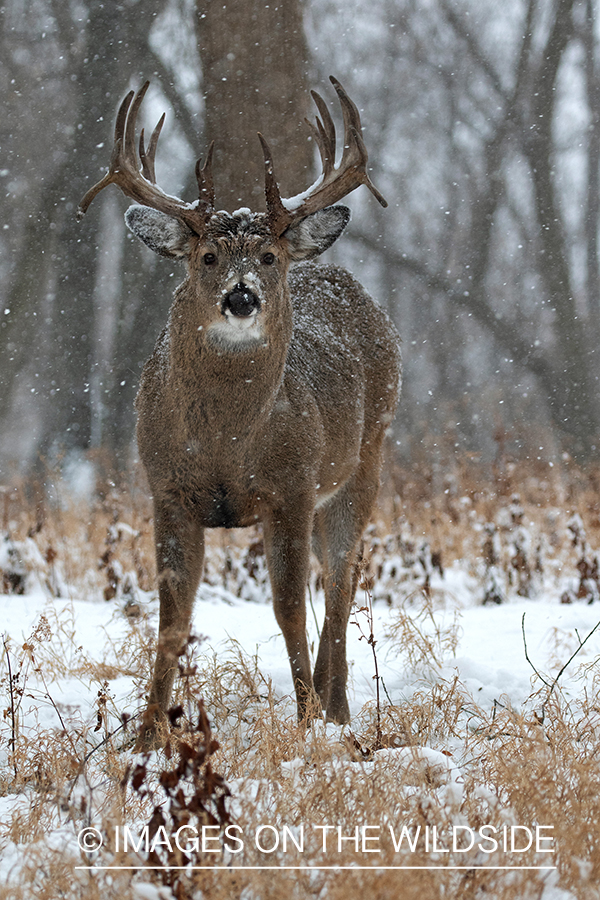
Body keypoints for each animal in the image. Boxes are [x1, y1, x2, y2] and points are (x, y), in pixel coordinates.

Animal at [77, 79, 400, 752]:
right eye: (206, 256)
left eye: (269, 255)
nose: (242, 295)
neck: (226, 445)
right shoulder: (166, 488)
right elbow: (172, 617)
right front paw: (146, 737)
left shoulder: (292, 486)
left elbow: (288, 606)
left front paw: (304, 722)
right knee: (337, 576)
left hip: (368, 455)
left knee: (341, 578)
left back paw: (336, 709)